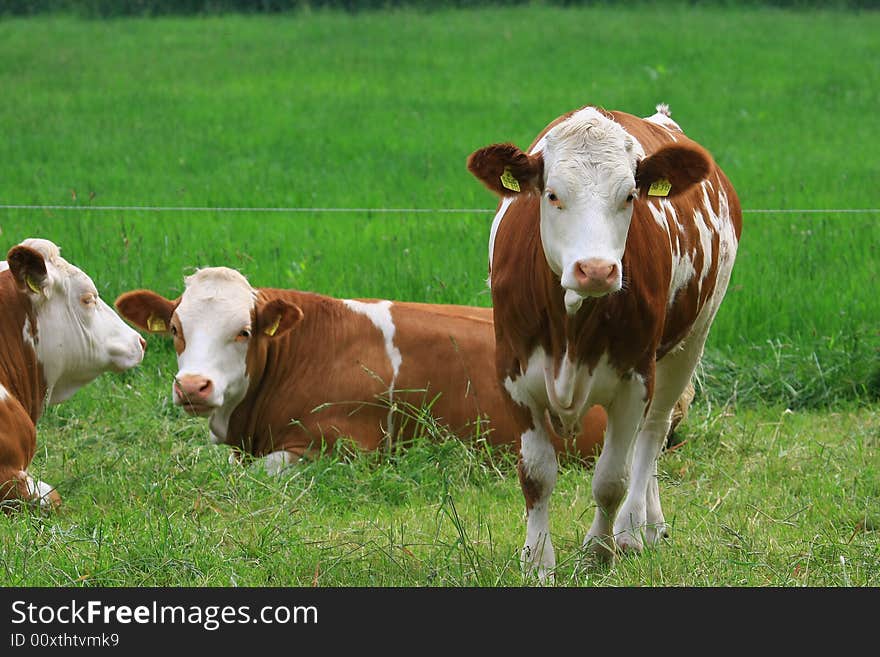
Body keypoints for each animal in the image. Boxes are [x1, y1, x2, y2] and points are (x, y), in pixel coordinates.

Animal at [468, 104, 744, 576]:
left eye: (630, 196)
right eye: (553, 194)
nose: (595, 269)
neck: (570, 326)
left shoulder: (635, 377)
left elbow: (611, 478)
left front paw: (600, 550)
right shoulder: (513, 376)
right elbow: (537, 474)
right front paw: (537, 560)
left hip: (689, 342)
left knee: (652, 434)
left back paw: (637, 528)